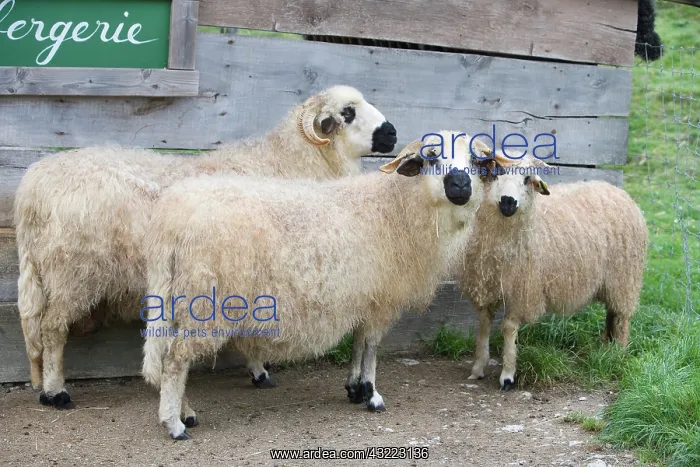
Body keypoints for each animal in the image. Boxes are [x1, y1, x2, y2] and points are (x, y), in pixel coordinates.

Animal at [14, 85, 397, 409]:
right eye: (347, 112)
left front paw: (258, 370)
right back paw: (57, 392)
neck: (288, 161)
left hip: (47, 271)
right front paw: (259, 369)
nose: (392, 132)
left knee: (37, 329)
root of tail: (33, 187)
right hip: (74, 273)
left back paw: (43, 387)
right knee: (52, 329)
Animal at [140, 132, 487, 439]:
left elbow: (359, 343)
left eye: (475, 161)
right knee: (175, 359)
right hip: (205, 299)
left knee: (166, 353)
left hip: (176, 294)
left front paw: (354, 388)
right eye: (432, 157)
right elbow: (372, 346)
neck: (397, 207)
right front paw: (372, 395)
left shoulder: (365, 296)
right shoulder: (382, 298)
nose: (460, 184)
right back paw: (175, 424)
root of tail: (170, 220)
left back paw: (185, 412)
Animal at [457, 154, 648, 391]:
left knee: (621, 317)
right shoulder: (486, 283)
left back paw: (617, 352)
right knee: (611, 313)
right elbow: (483, 325)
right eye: (496, 173)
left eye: (527, 179)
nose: (508, 202)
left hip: (624, 278)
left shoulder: (523, 289)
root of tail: (617, 190)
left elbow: (508, 328)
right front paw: (478, 368)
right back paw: (606, 345)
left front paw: (508, 375)